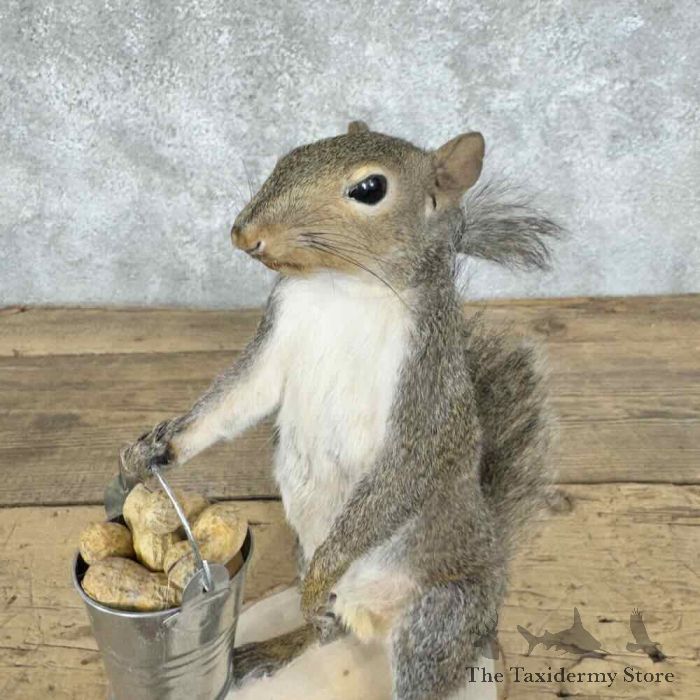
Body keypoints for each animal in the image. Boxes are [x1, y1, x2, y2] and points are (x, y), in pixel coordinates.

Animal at [122, 120, 560, 700]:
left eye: (370, 189)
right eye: (293, 154)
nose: (244, 233)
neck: (342, 287)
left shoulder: (424, 388)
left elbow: (402, 471)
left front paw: (325, 572)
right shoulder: (278, 333)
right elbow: (236, 399)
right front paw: (157, 447)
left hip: (438, 618)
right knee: (323, 631)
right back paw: (273, 647)